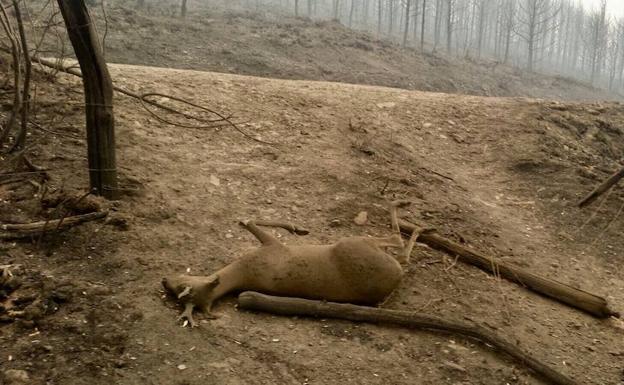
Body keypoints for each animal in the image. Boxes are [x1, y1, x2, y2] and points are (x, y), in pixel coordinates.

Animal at [161, 201, 424, 324]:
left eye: (182, 286)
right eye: (181, 293)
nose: (164, 279)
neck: (240, 272)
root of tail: (395, 279)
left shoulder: (270, 246)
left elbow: (248, 220)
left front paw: (298, 228)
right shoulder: (271, 246)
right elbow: (251, 220)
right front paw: (297, 228)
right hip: (354, 244)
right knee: (399, 247)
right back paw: (409, 213)